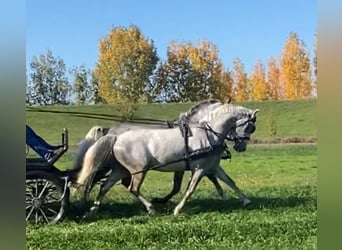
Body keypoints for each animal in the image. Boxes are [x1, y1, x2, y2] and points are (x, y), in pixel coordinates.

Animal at [76, 102, 258, 216]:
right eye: (250, 126)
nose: (241, 146)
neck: (210, 134)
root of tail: (116, 137)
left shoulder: (212, 167)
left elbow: (229, 181)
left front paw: (246, 200)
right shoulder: (198, 169)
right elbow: (189, 190)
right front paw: (177, 209)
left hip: (120, 170)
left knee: (105, 186)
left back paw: (93, 209)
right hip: (138, 170)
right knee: (132, 188)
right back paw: (151, 208)